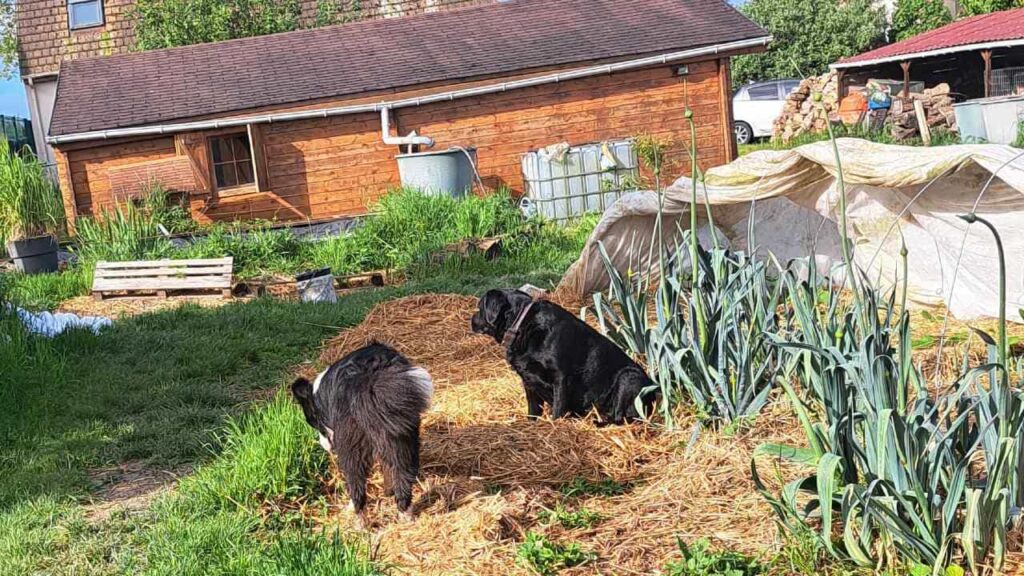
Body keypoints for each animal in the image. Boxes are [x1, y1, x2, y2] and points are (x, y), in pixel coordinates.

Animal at [288, 340, 432, 524]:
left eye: (315, 422)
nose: (324, 446)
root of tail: (365, 379)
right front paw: (388, 491)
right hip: (403, 436)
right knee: (403, 474)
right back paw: (405, 514)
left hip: (352, 445)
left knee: (356, 484)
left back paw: (360, 520)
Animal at [471, 286, 655, 422]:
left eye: (479, 308)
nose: (471, 319)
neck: (522, 325)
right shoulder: (528, 381)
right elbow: (533, 411)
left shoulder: (561, 378)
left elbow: (558, 410)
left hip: (628, 378)